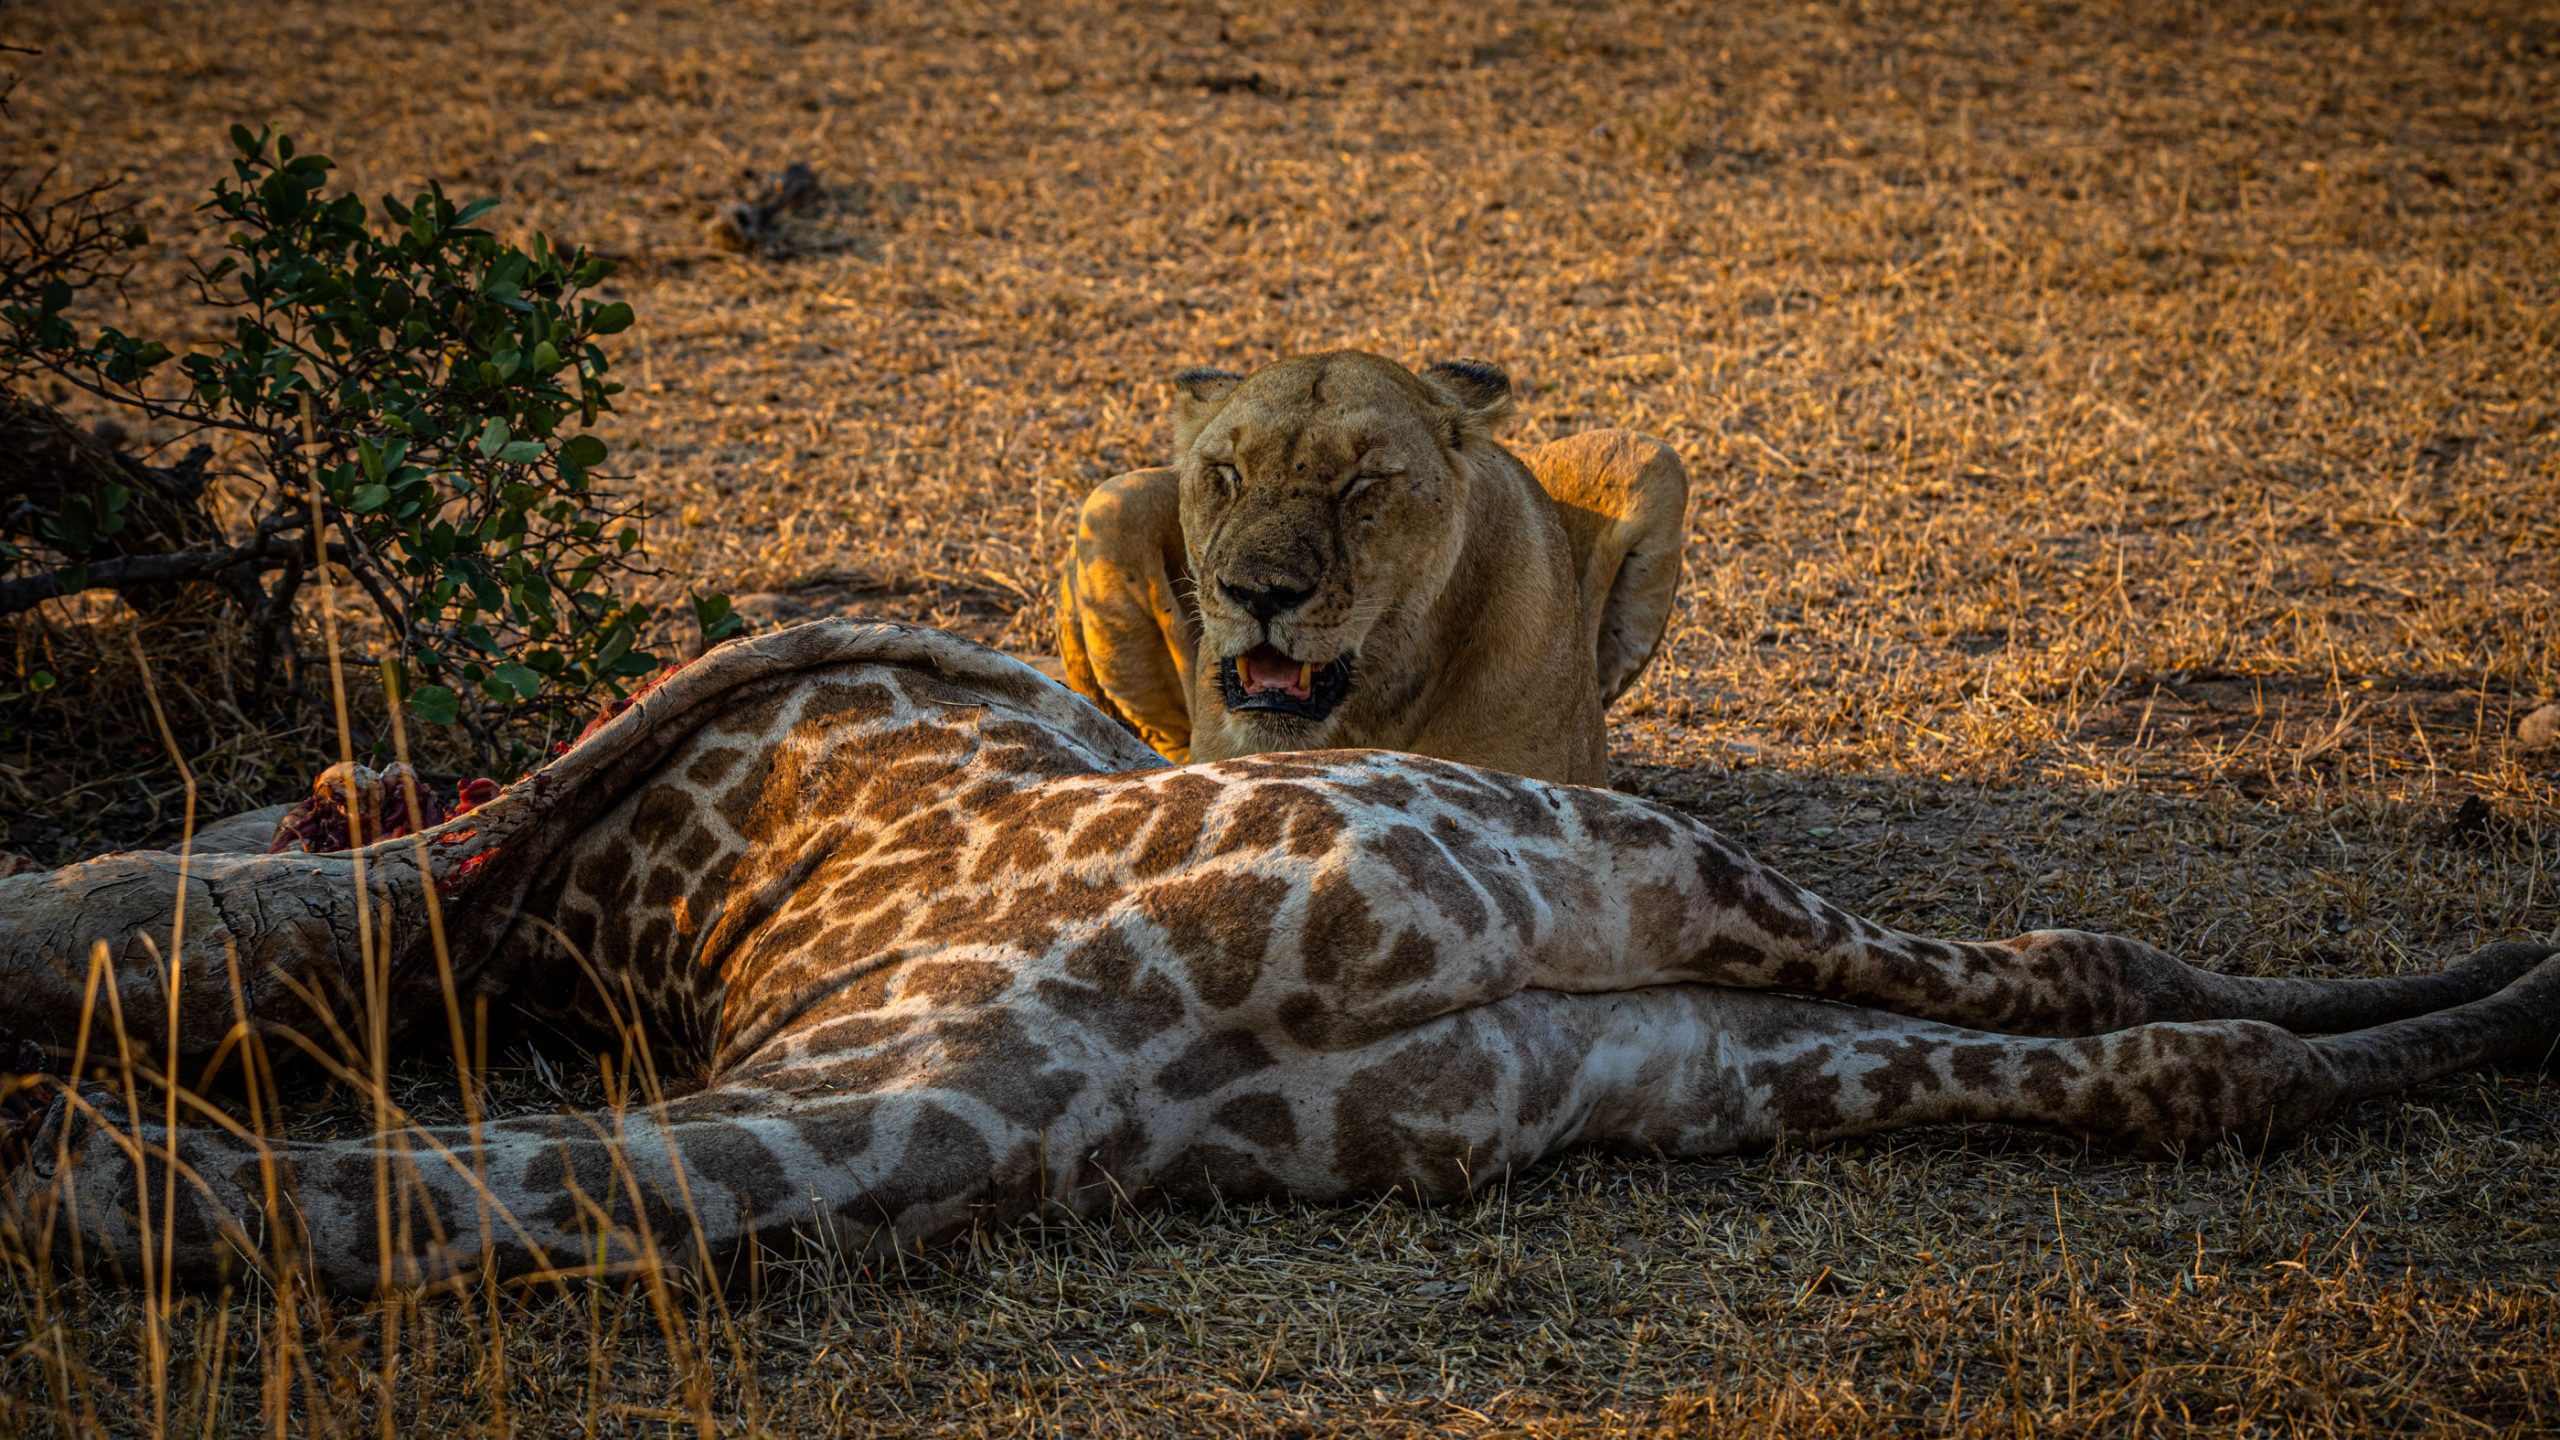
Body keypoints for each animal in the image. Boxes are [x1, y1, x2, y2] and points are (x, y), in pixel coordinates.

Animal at [1, 620, 2553, 1293]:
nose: (44, 1099)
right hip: (1619, 968)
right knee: (2122, 1008)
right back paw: (2518, 989)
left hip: (1604, 970)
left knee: (2117, 1009)